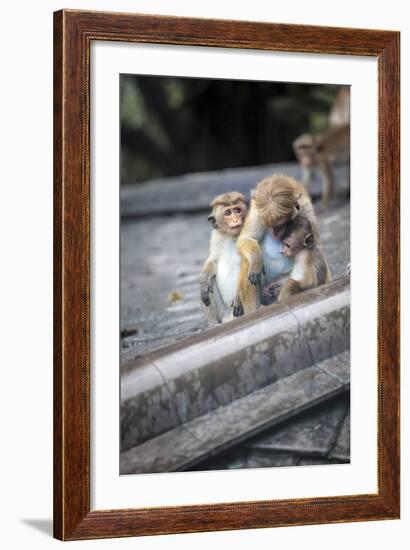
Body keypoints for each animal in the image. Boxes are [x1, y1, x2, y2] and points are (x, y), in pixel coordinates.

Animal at [200, 193, 248, 326]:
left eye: (237, 210)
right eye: (227, 213)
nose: (235, 219)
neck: (231, 236)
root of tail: (230, 318)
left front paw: (238, 298)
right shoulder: (216, 236)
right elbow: (213, 261)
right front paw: (204, 282)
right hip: (223, 313)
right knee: (210, 282)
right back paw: (213, 325)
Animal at [234, 175, 318, 316]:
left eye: (281, 224)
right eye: (269, 225)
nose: (275, 233)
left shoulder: (306, 208)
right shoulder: (257, 213)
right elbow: (246, 239)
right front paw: (256, 261)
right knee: (247, 259)